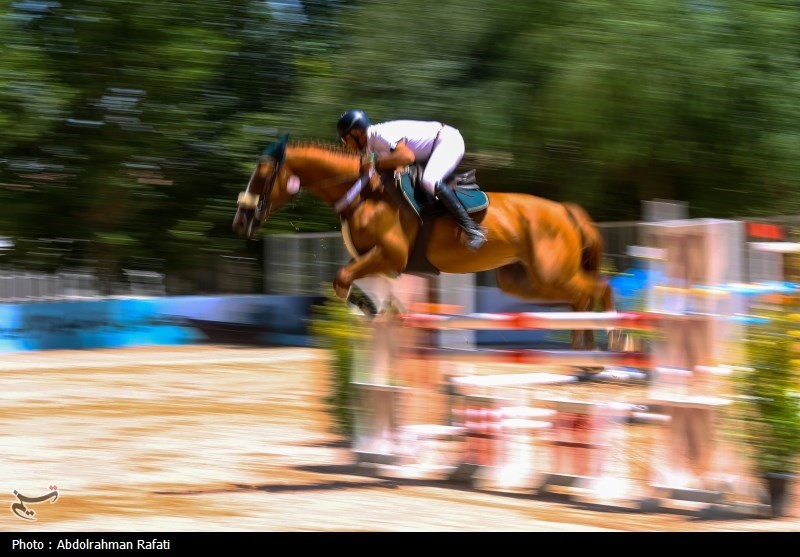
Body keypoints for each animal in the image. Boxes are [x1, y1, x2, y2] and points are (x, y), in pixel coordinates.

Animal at [231, 134, 620, 352]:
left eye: (262, 176)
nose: (240, 222)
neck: (362, 193)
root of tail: (565, 210)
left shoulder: (389, 256)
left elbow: (342, 280)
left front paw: (364, 315)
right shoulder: (382, 265)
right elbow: (353, 287)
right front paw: (372, 315)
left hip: (551, 272)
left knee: (598, 287)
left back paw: (612, 336)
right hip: (525, 281)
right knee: (581, 296)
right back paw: (585, 349)